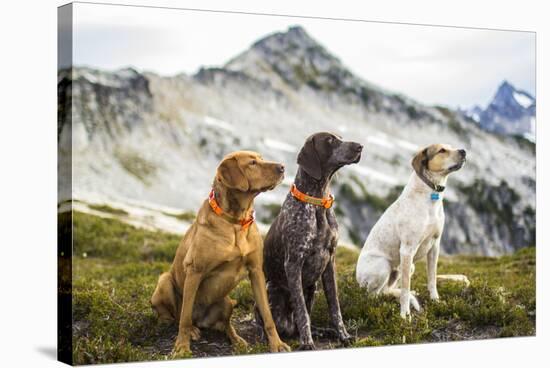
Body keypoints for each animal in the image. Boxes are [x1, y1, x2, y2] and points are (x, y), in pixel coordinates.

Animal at [149, 151, 292, 356]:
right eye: (252, 163)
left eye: (261, 159)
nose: (282, 167)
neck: (236, 221)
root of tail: (201, 320)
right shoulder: (195, 270)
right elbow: (184, 317)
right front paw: (182, 348)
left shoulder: (256, 271)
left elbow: (268, 315)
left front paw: (277, 344)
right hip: (165, 281)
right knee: (175, 317)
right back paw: (190, 330)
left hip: (226, 302)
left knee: (225, 324)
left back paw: (237, 340)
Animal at [260, 133, 364, 350]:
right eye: (330, 140)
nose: (360, 146)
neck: (317, 202)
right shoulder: (293, 263)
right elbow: (301, 311)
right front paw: (307, 343)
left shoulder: (330, 262)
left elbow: (335, 307)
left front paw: (343, 335)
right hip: (271, 288)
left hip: (313, 287)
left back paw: (321, 331)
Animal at [358, 144, 470, 320]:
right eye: (442, 150)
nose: (463, 151)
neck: (430, 194)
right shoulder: (407, 250)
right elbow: (405, 289)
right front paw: (404, 315)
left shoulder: (435, 246)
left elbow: (432, 279)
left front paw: (435, 301)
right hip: (383, 266)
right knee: (372, 295)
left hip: (408, 268)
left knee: (386, 291)